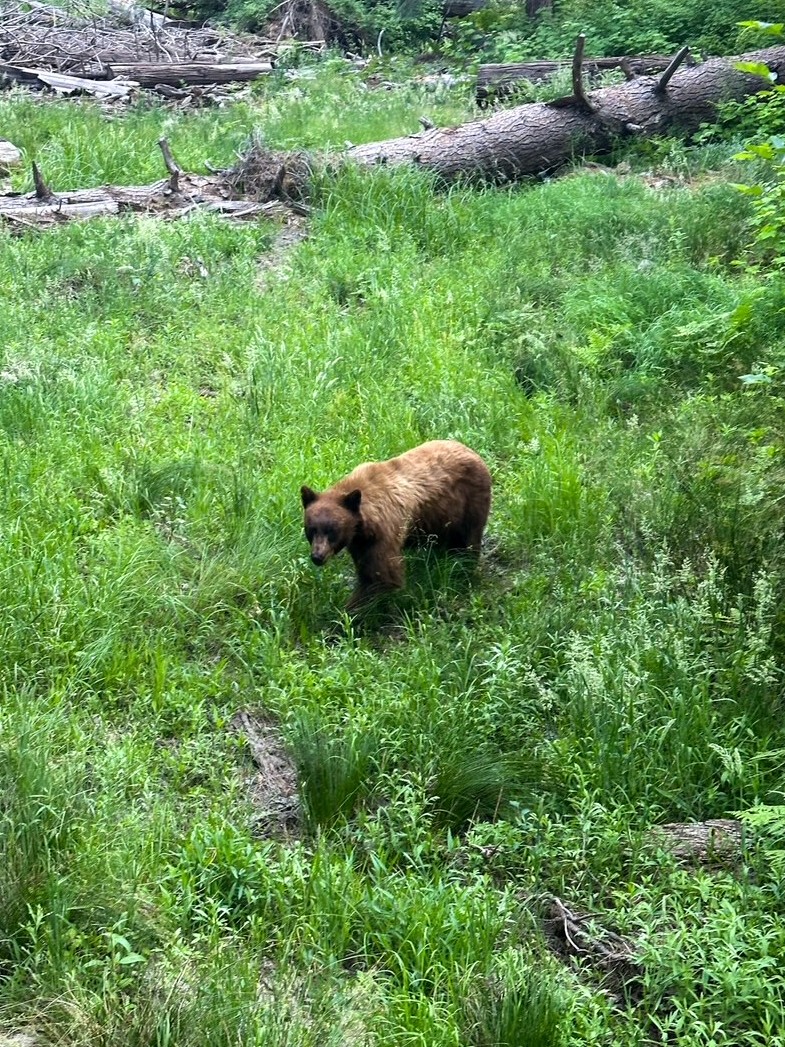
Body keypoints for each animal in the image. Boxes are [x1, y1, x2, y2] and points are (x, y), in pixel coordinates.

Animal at [301, 440, 492, 611]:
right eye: (311, 530)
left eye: (332, 531)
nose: (317, 556)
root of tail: (472, 451)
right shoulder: (360, 541)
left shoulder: (384, 531)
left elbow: (382, 576)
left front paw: (348, 613)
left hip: (469, 505)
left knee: (468, 542)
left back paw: (463, 571)